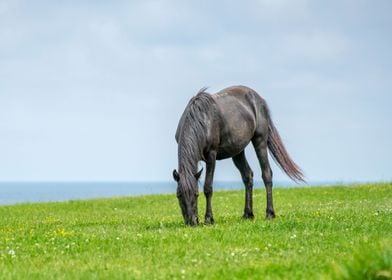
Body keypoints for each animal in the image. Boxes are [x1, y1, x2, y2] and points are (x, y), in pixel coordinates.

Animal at [173, 85, 304, 225]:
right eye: (178, 195)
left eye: (196, 194)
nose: (191, 222)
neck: (201, 120)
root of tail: (258, 98)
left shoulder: (211, 156)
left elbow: (208, 187)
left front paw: (208, 219)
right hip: (237, 151)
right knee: (248, 176)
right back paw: (248, 214)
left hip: (260, 140)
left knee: (267, 174)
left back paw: (269, 214)